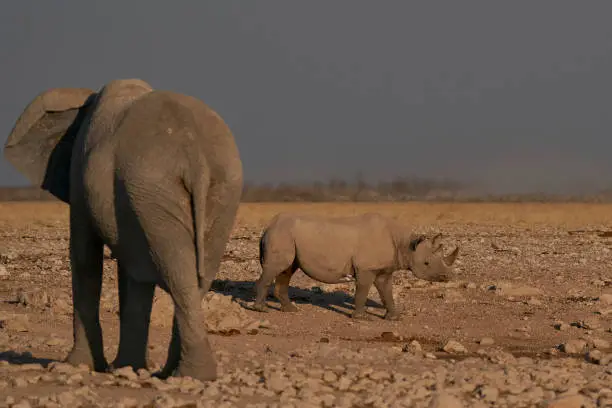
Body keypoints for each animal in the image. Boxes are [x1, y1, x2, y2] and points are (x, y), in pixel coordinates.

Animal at [4, 79, 245, 382]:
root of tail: (196, 157)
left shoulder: (80, 176)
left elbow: (85, 257)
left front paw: (81, 366)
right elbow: (131, 269)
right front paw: (126, 368)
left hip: (156, 190)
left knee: (177, 271)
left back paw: (187, 376)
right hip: (214, 190)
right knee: (194, 275)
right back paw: (176, 374)